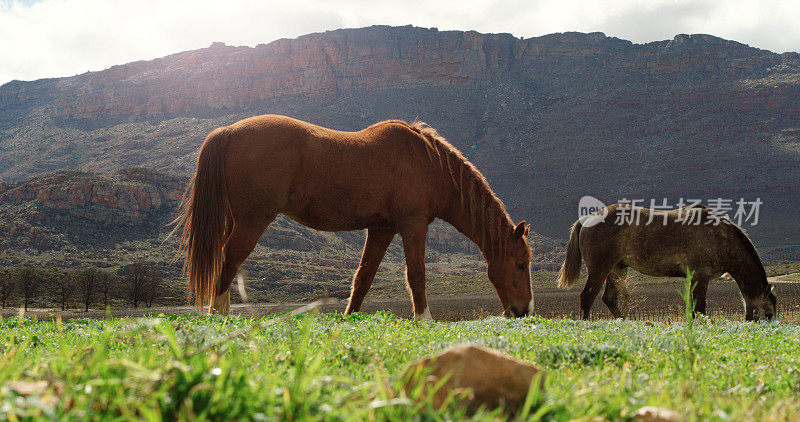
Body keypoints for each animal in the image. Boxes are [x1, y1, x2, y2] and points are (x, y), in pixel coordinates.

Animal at [173, 113, 536, 318]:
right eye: (520, 264)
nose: (523, 312)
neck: (428, 163)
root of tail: (229, 130)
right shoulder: (413, 225)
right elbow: (416, 276)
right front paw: (425, 320)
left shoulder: (381, 229)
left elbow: (363, 279)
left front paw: (350, 319)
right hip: (252, 221)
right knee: (227, 261)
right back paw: (219, 319)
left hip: (236, 220)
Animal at [556, 204, 776, 320]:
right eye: (769, 314)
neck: (721, 236)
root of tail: (586, 219)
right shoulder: (701, 275)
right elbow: (699, 306)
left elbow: (692, 306)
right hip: (599, 269)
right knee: (587, 296)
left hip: (616, 269)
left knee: (609, 298)